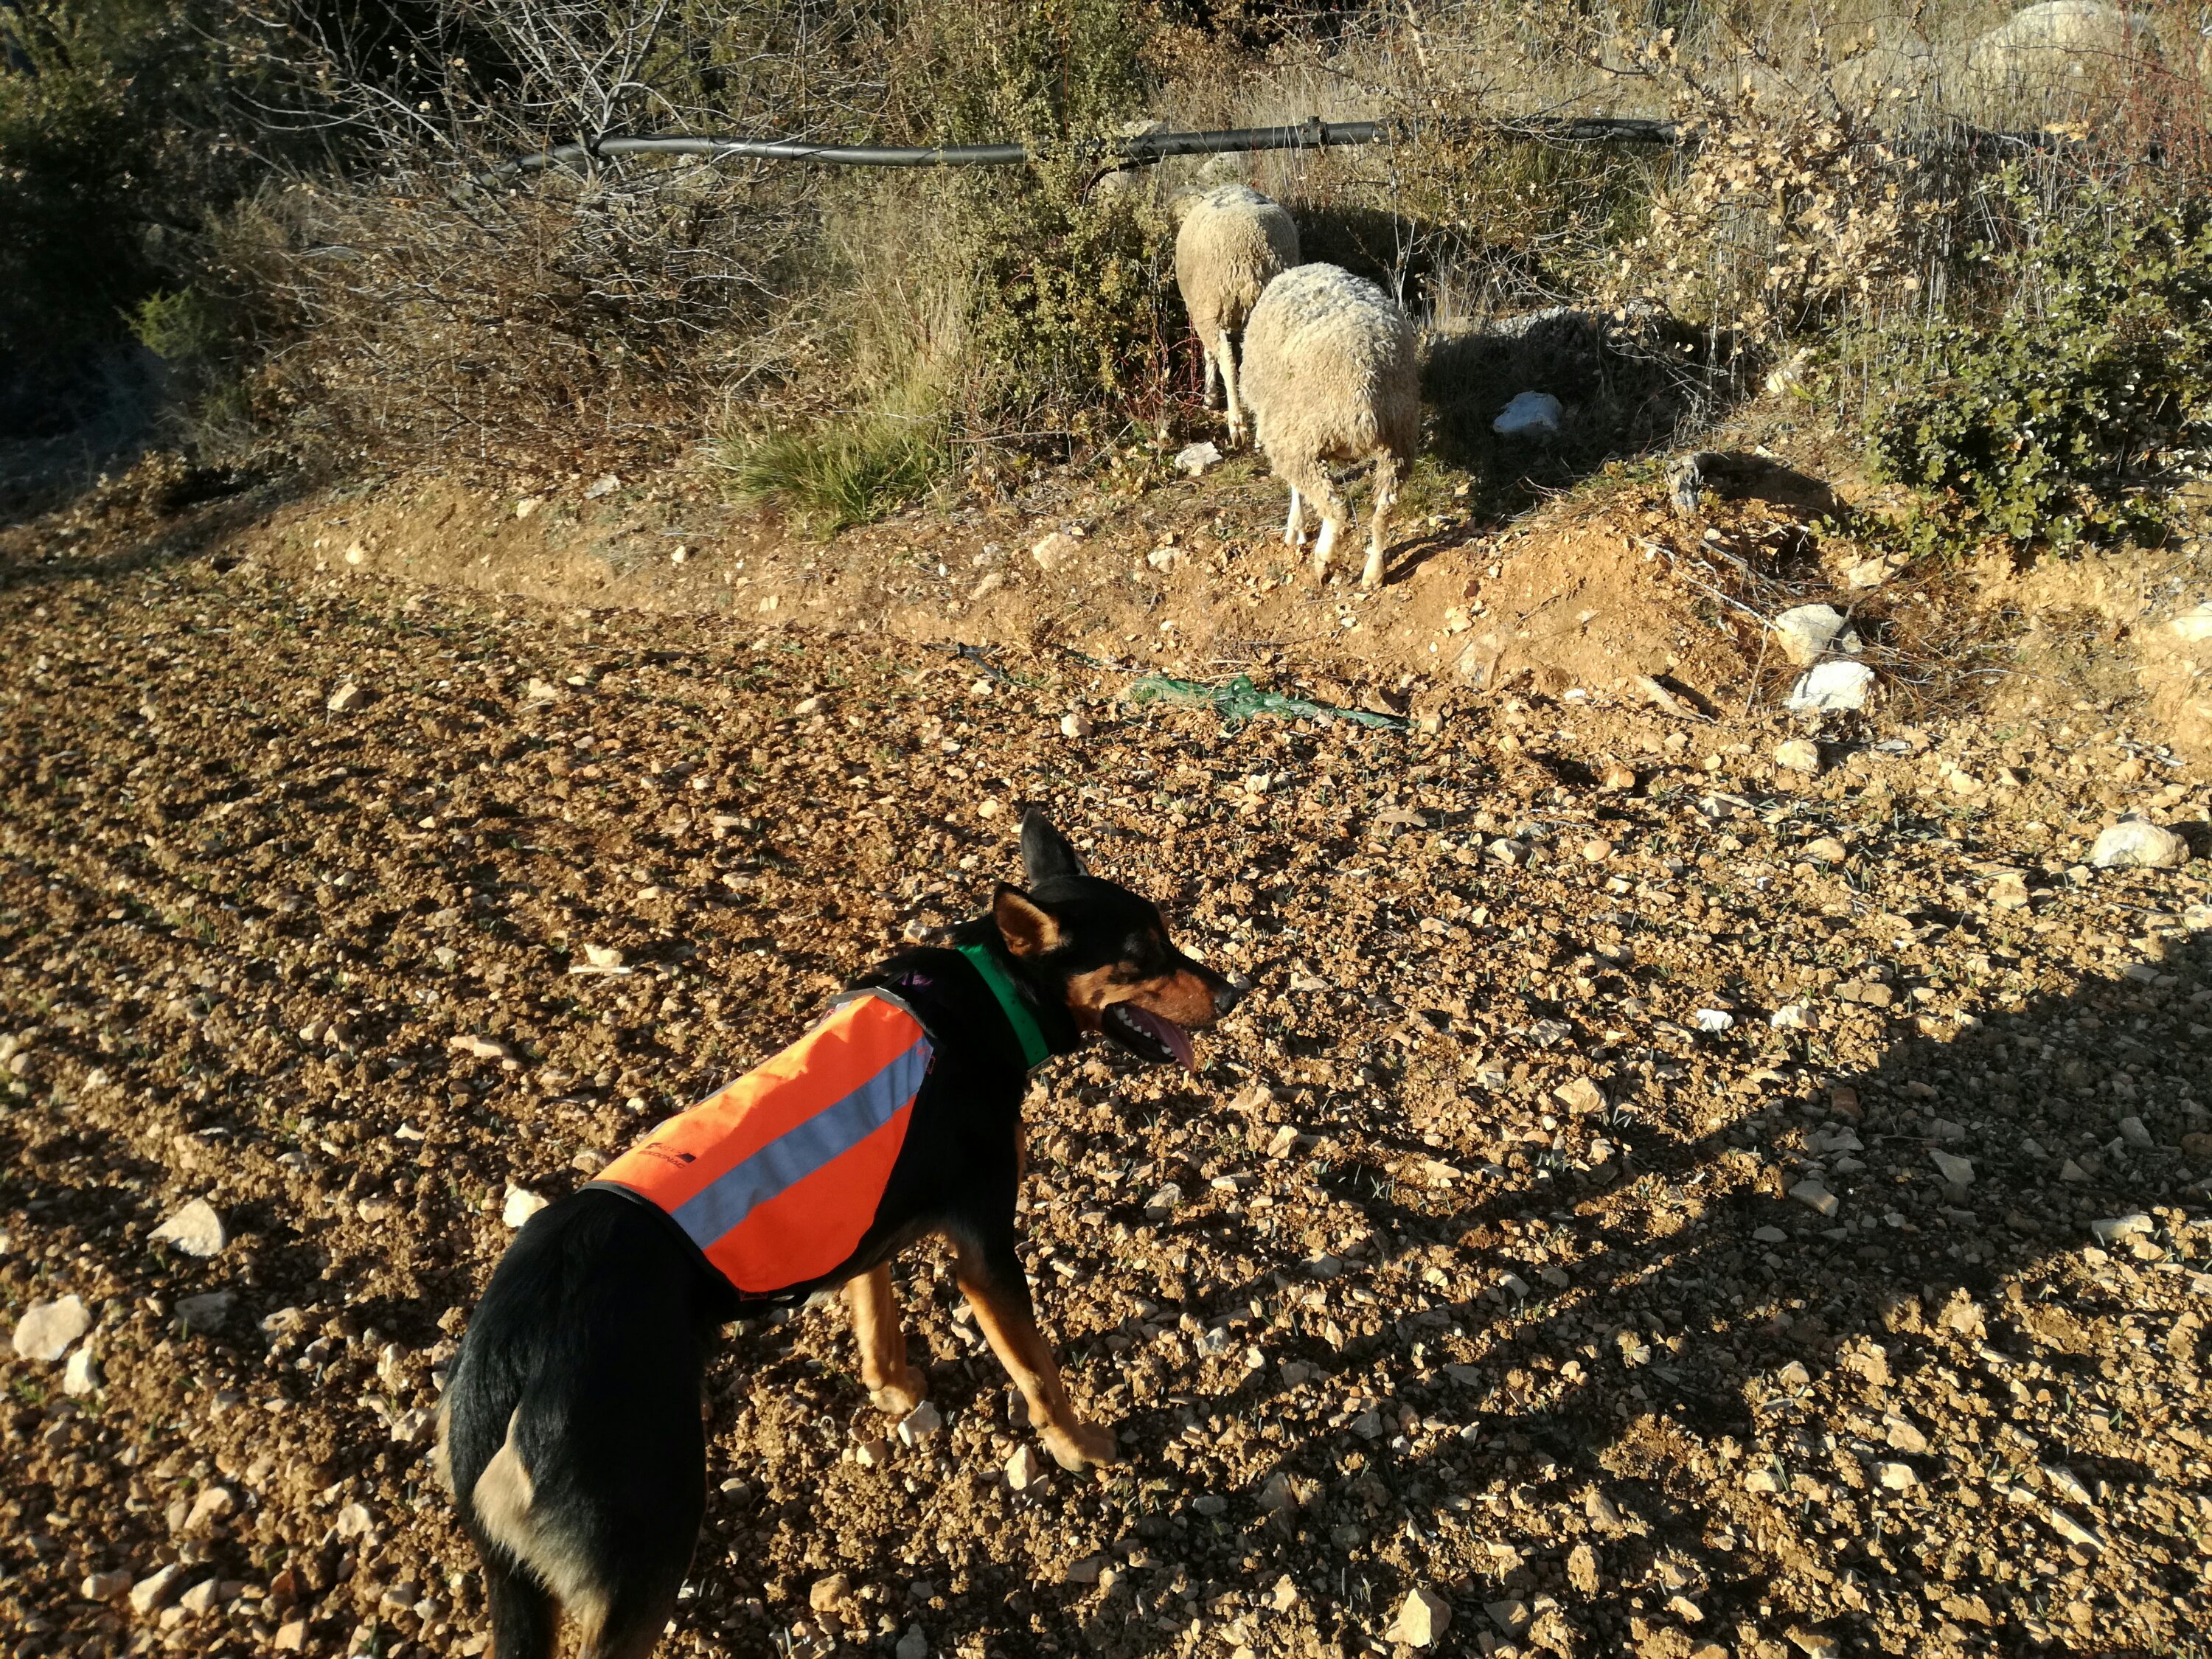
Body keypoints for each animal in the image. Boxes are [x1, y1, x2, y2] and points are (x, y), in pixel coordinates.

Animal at [436, 811, 1238, 1659]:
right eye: (1143, 956)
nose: (1236, 991)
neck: (989, 994)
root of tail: (503, 1366)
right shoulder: (986, 1254)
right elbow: (1039, 1373)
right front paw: (1079, 1448)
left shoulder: (868, 1224)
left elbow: (875, 1316)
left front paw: (894, 1389)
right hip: (645, 1548)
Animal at [1173, 184, 1300, 447]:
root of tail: (1251, 255)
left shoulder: (1204, 314)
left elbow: (1209, 355)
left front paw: (1210, 399)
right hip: (1268, 311)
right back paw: (1260, 433)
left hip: (1213, 309)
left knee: (1228, 364)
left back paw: (1237, 425)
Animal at [1238, 262, 1419, 590]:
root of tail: (1364, 384)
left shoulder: (1286, 431)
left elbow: (1296, 489)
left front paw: (1295, 530)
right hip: (1399, 438)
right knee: (1384, 509)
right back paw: (1374, 572)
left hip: (1303, 436)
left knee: (1334, 509)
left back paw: (1324, 560)